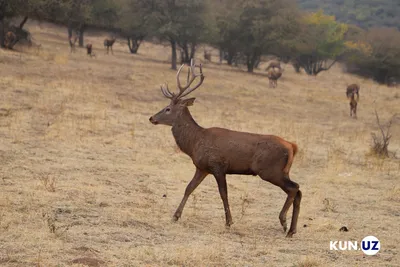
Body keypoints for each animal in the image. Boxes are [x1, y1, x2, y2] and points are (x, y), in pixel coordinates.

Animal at [149, 59, 300, 239]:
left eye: (168, 109)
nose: (151, 118)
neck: (195, 142)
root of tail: (292, 146)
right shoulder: (202, 167)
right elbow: (189, 188)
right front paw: (175, 216)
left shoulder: (218, 165)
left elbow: (223, 193)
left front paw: (229, 222)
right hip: (283, 171)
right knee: (298, 190)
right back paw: (292, 229)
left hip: (270, 170)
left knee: (294, 188)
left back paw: (284, 222)